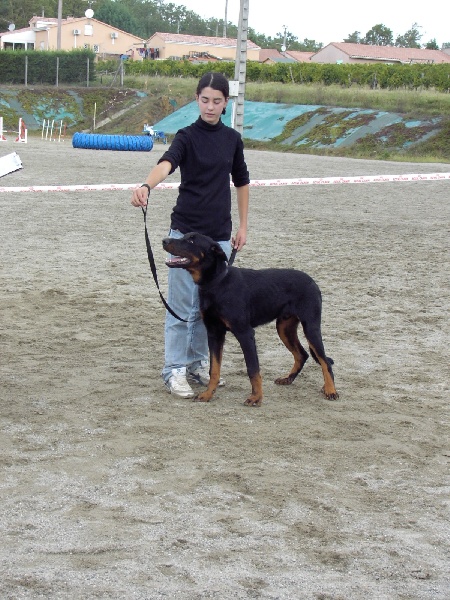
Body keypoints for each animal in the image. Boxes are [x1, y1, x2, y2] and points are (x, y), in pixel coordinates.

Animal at [162, 232, 338, 406]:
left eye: (191, 241)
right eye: (183, 236)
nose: (164, 240)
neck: (216, 283)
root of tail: (312, 282)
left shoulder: (245, 333)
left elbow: (253, 369)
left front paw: (256, 397)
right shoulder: (214, 333)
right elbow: (214, 369)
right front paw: (207, 394)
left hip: (311, 327)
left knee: (324, 360)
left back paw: (330, 390)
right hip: (284, 328)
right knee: (302, 355)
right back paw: (288, 379)